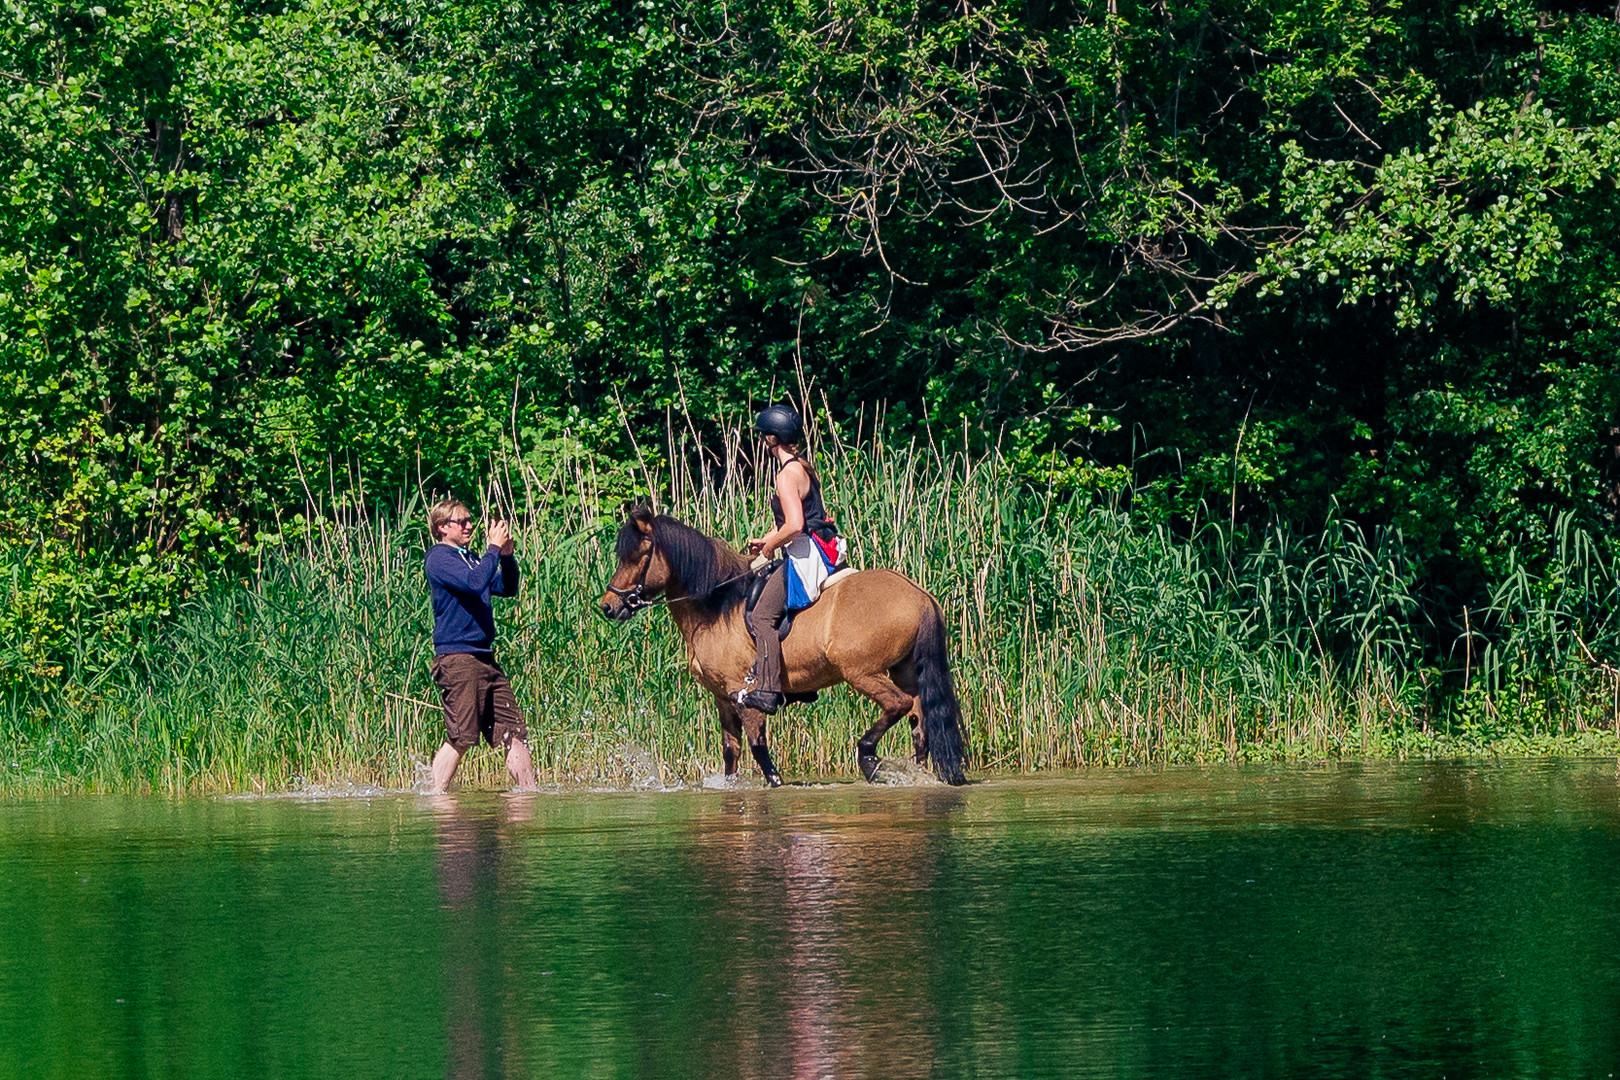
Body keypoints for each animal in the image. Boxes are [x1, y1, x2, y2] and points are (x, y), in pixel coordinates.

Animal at [602, 501, 965, 790]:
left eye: (637, 556)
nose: (608, 606)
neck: (717, 607)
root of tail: (920, 596)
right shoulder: (722, 696)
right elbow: (731, 751)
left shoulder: (743, 692)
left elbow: (759, 750)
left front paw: (775, 783)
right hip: (904, 670)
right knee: (919, 722)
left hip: (861, 672)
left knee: (897, 704)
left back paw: (867, 757)